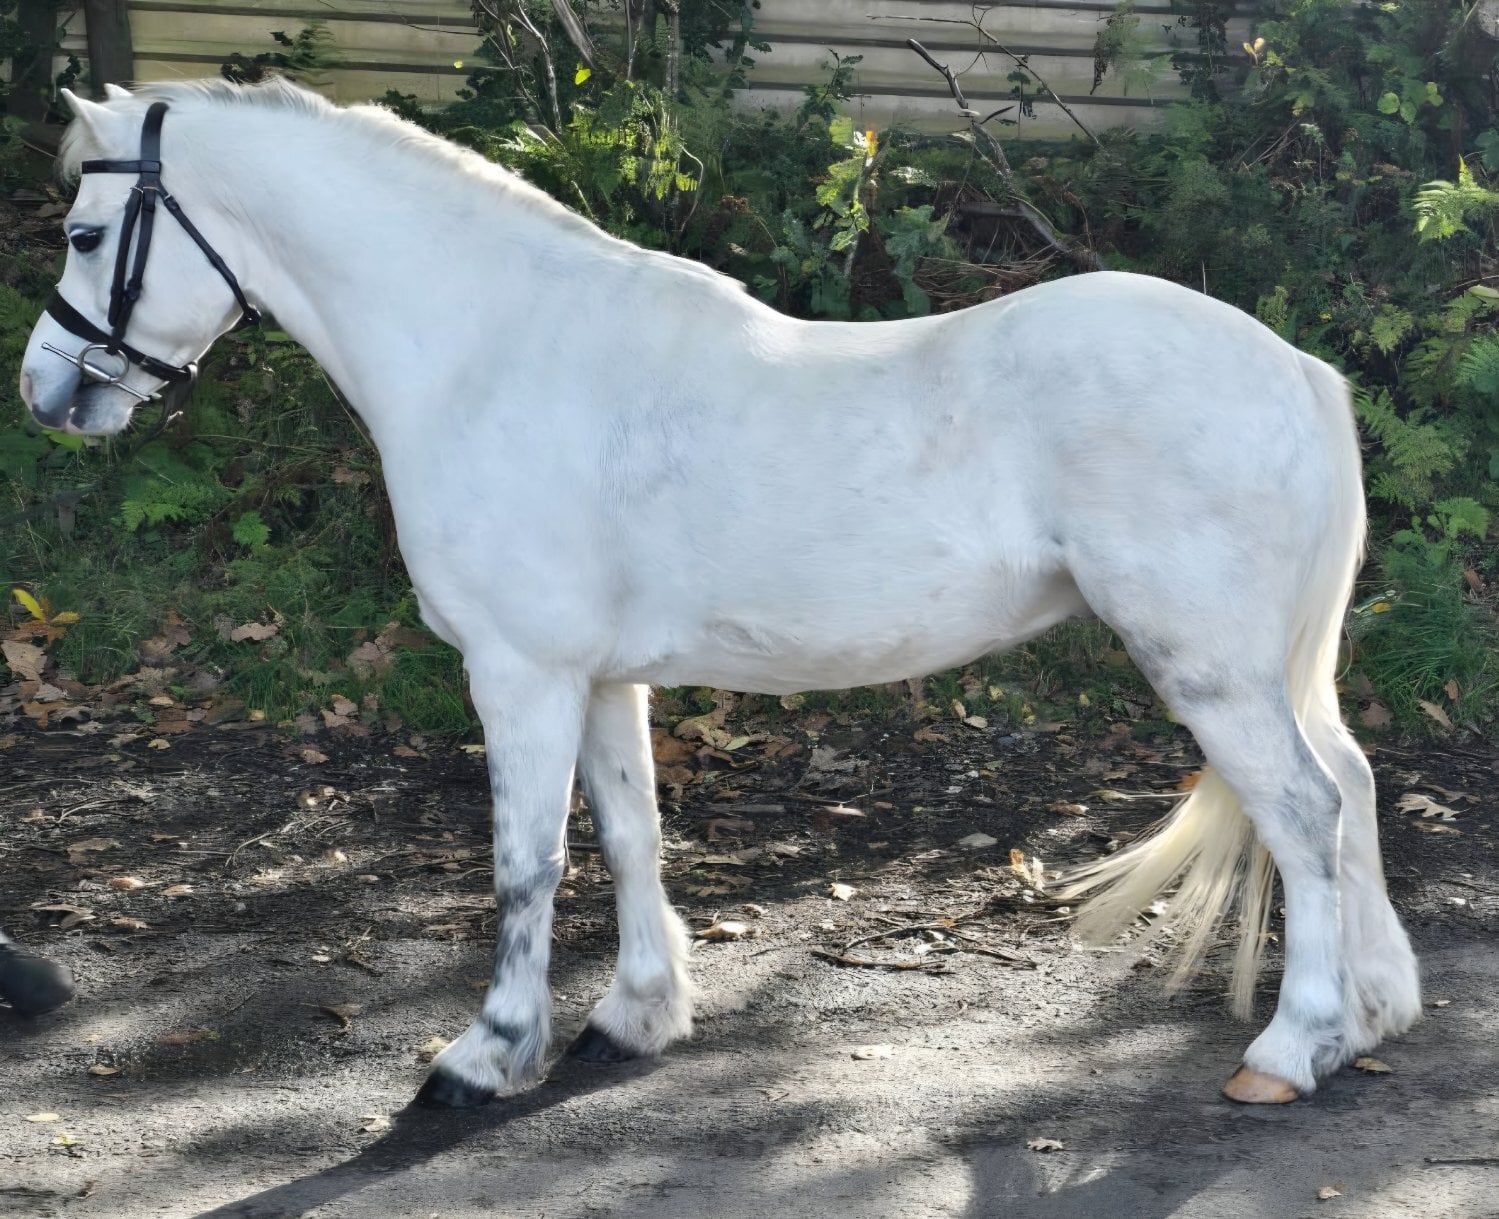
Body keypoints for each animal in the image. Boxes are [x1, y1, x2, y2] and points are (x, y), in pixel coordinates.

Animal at [18, 78, 1421, 1109]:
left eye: (86, 236)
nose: (47, 389)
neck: (492, 351)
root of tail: (1296, 369)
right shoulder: (601, 676)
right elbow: (628, 833)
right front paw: (635, 1016)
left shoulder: (517, 670)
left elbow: (525, 862)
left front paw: (487, 1052)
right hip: (1268, 670)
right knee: (1350, 788)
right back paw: (1368, 1013)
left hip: (1210, 669)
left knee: (1304, 813)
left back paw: (1288, 1049)